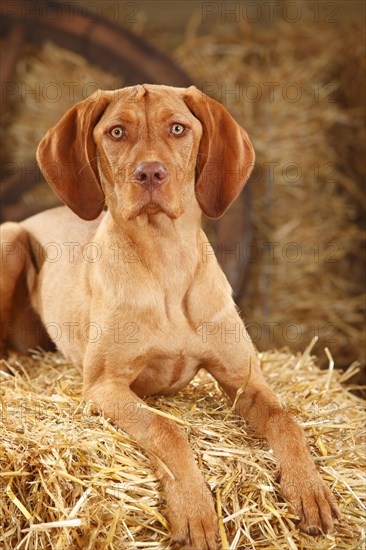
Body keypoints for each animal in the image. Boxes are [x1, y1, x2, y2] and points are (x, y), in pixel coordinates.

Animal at [0, 84, 340, 548]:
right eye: (117, 131)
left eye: (178, 128)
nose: (150, 174)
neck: (165, 261)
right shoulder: (105, 386)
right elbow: (168, 430)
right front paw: (194, 508)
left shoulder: (245, 378)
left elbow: (286, 420)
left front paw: (310, 488)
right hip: (11, 236)